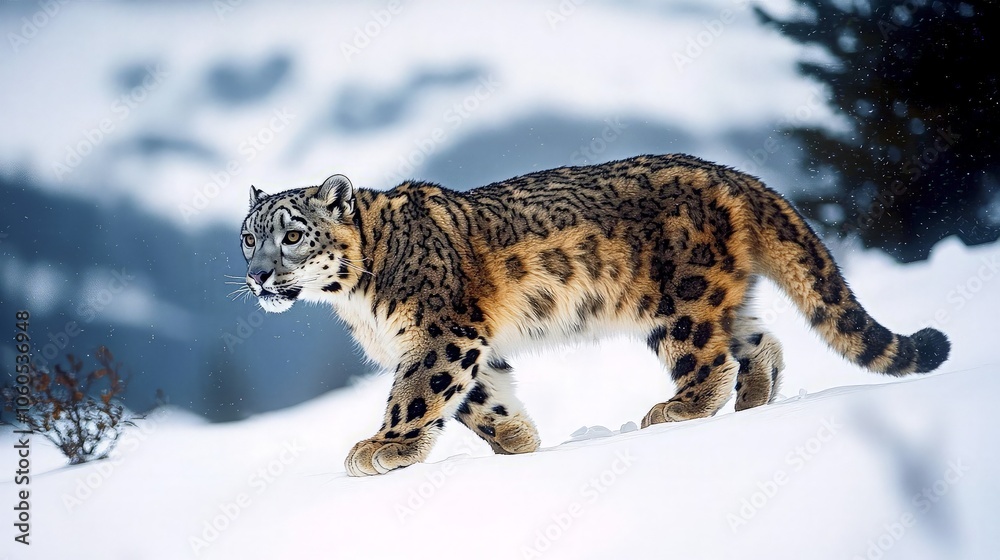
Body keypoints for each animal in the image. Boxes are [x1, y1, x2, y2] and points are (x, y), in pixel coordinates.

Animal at [238, 153, 951, 477]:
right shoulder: (470, 344)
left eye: (292, 234)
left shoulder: (441, 335)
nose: (259, 275)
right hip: (725, 300)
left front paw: (384, 447)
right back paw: (756, 401)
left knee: (709, 361)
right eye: (248, 237)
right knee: (759, 340)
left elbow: (417, 394)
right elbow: (479, 399)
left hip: (680, 304)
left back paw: (675, 412)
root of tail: (729, 172)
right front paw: (518, 441)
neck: (355, 302)